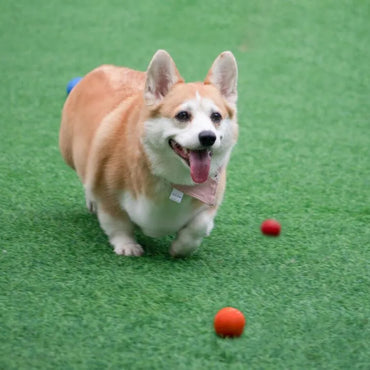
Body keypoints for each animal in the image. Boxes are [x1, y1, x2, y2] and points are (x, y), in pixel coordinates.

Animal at [59, 49, 238, 258]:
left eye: (216, 116)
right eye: (183, 115)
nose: (208, 137)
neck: (176, 182)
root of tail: (102, 69)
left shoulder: (210, 202)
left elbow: (199, 226)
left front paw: (181, 249)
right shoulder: (108, 195)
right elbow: (117, 223)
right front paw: (127, 246)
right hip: (69, 154)